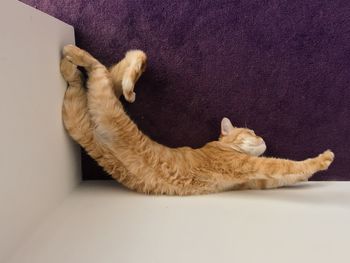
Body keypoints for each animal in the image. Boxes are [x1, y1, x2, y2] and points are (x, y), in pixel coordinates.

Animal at [61, 43, 334, 196]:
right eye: (250, 131)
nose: (262, 137)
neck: (225, 148)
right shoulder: (251, 166)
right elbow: (286, 165)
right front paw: (322, 159)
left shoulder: (255, 181)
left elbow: (289, 176)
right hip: (105, 102)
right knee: (97, 68)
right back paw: (72, 53)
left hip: (75, 119)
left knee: (79, 84)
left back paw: (68, 67)